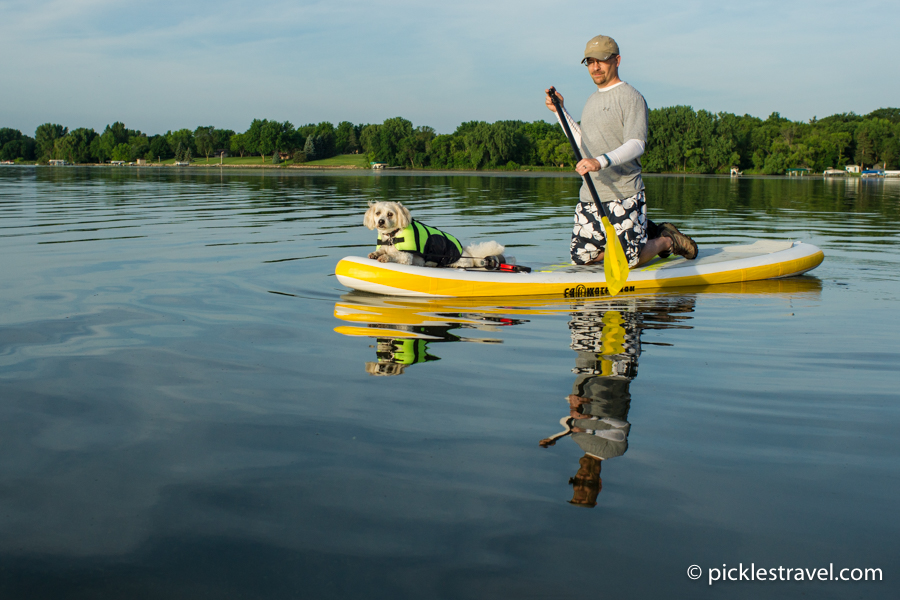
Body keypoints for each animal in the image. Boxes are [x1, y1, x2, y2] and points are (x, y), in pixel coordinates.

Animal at [364, 202, 506, 268]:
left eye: (390, 214)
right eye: (377, 213)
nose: (381, 221)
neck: (392, 236)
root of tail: (467, 252)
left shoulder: (406, 256)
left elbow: (394, 255)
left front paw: (385, 257)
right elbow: (381, 250)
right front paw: (375, 253)